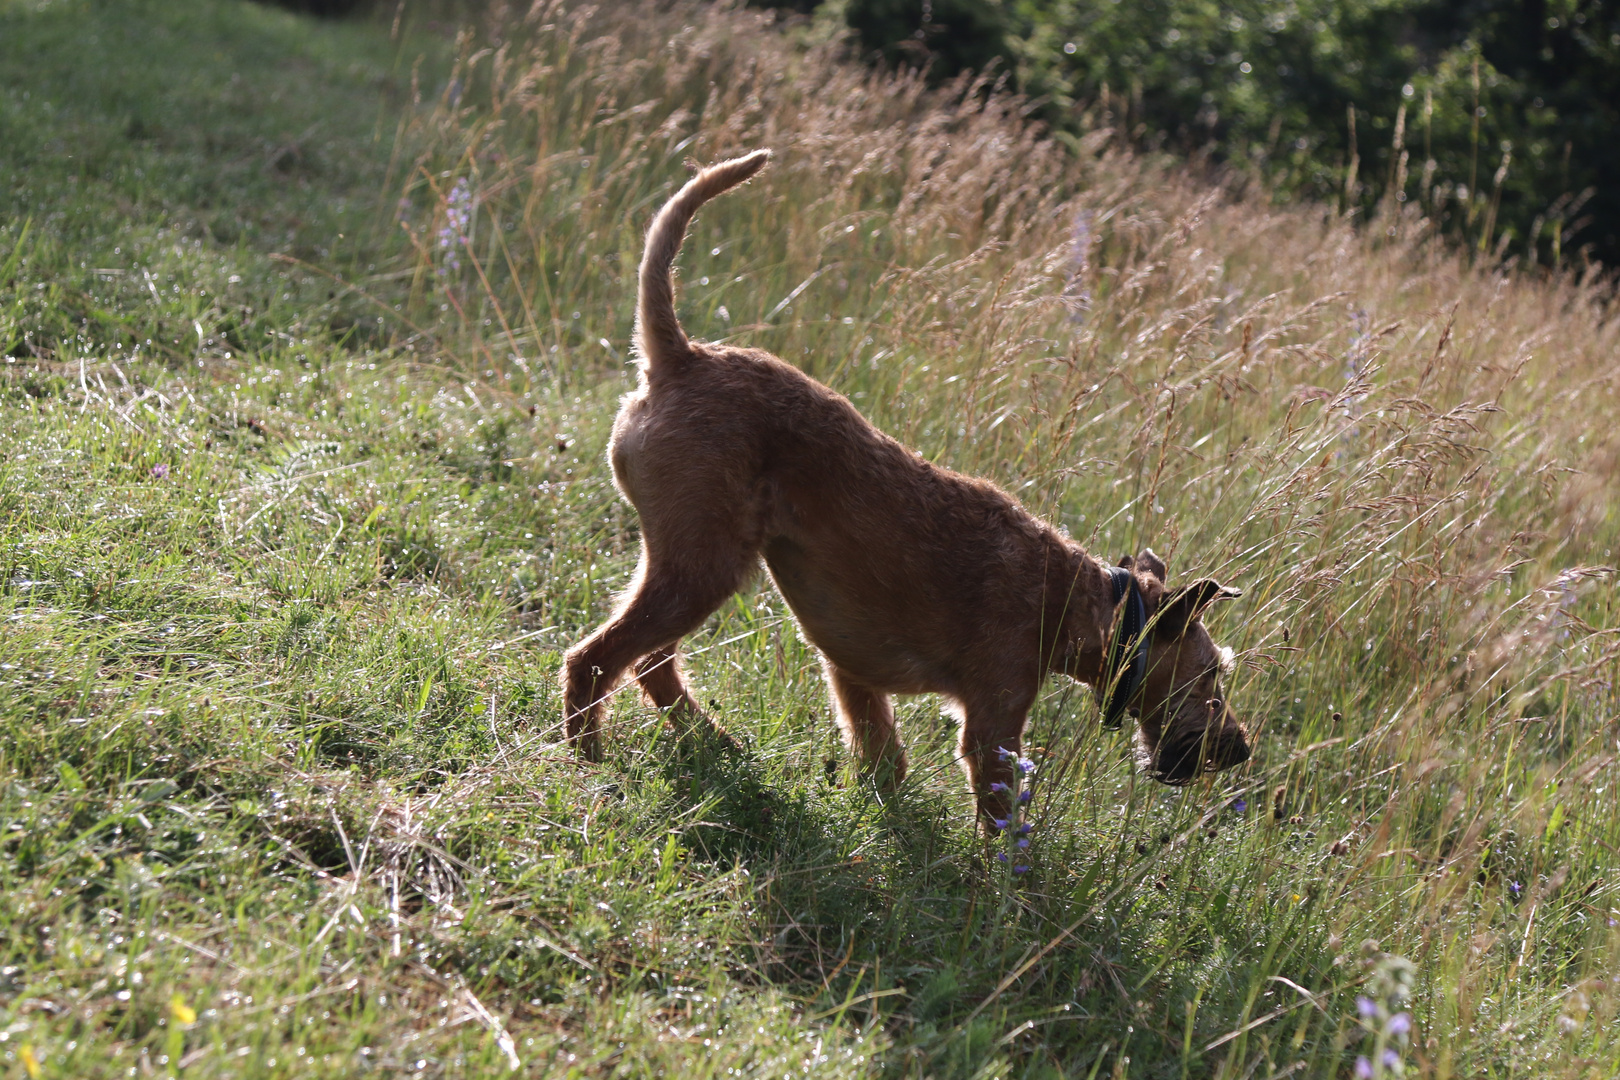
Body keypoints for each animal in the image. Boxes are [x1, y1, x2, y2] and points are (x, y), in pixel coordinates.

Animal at [560, 152, 1250, 822]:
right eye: (1211, 677)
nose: (1241, 748)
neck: (1081, 600)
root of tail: (679, 358)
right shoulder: (993, 723)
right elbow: (1001, 822)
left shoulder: (851, 671)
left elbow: (884, 759)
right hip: (703, 567)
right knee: (595, 657)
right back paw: (588, 762)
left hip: (689, 565)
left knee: (650, 661)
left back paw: (714, 744)